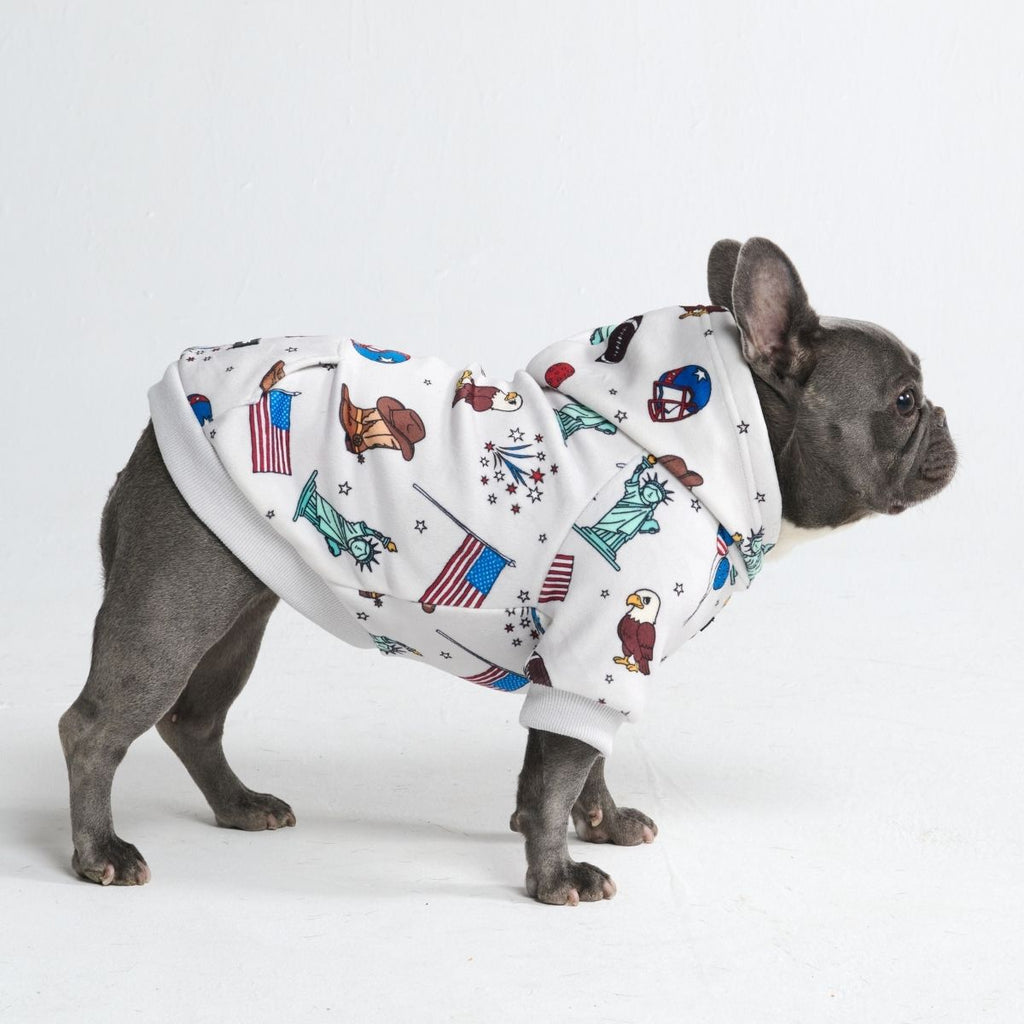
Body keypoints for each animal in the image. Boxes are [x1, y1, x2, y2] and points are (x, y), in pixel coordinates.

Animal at [59, 238, 957, 904]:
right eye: (904, 401)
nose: (949, 416)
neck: (729, 450)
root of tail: (159, 424)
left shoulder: (592, 670)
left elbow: (580, 763)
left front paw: (604, 826)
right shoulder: (597, 654)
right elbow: (557, 777)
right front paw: (556, 877)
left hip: (236, 618)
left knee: (193, 721)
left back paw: (240, 807)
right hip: (172, 613)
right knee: (96, 727)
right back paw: (100, 851)